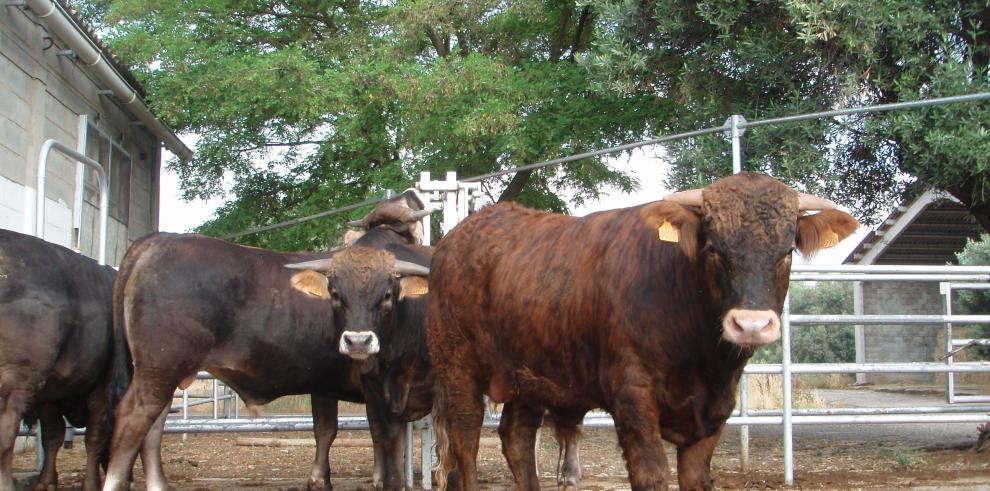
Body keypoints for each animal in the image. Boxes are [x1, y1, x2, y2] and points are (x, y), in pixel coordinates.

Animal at [0, 231, 130, 491]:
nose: (127, 477)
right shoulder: (102, 386)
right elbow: (93, 436)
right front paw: (91, 483)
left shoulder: (51, 392)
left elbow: (52, 435)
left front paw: (46, 481)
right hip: (12, 384)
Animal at [428, 173, 860, 491]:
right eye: (713, 248)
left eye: (787, 251)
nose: (750, 324)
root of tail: (458, 236)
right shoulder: (632, 396)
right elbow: (651, 474)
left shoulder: (715, 412)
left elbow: (696, 478)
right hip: (457, 364)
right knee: (466, 438)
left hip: (531, 375)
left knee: (517, 438)